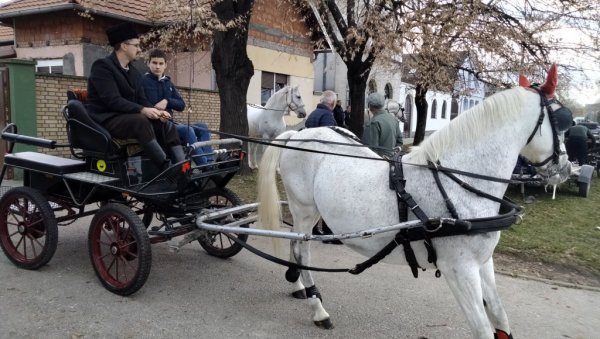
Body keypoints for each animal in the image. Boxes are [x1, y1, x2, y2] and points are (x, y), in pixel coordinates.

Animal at [256, 65, 572, 338]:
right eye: (565, 120)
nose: (566, 168)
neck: (456, 181)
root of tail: (298, 134)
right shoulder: (459, 270)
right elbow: (482, 329)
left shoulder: (483, 263)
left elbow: (500, 316)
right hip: (304, 210)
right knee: (301, 250)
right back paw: (317, 307)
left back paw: (297, 283)